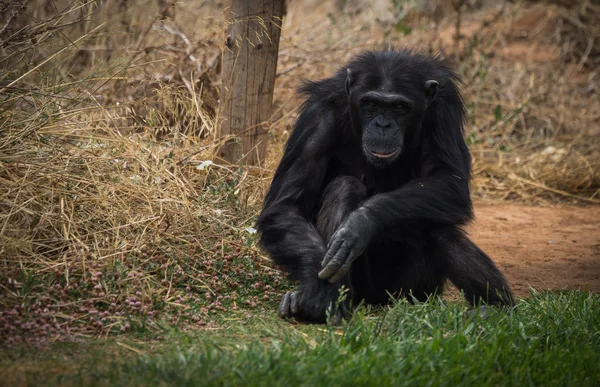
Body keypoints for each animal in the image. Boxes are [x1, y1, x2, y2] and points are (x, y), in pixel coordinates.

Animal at [255, 48, 512, 324]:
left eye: (399, 107)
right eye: (371, 104)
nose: (383, 125)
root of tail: (381, 301)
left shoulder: (444, 109)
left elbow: (449, 181)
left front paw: (361, 223)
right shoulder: (317, 118)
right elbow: (286, 207)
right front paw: (318, 291)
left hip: (416, 291)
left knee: (437, 228)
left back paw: (495, 306)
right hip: (367, 290)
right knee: (345, 187)